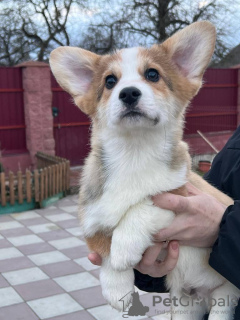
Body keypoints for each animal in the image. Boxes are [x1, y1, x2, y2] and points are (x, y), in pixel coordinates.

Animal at [49, 21, 239, 318]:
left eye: (153, 74)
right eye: (110, 81)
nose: (128, 93)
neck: (134, 153)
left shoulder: (180, 195)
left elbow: (142, 207)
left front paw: (123, 249)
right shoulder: (91, 213)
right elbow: (102, 245)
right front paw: (116, 288)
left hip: (226, 296)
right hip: (185, 306)